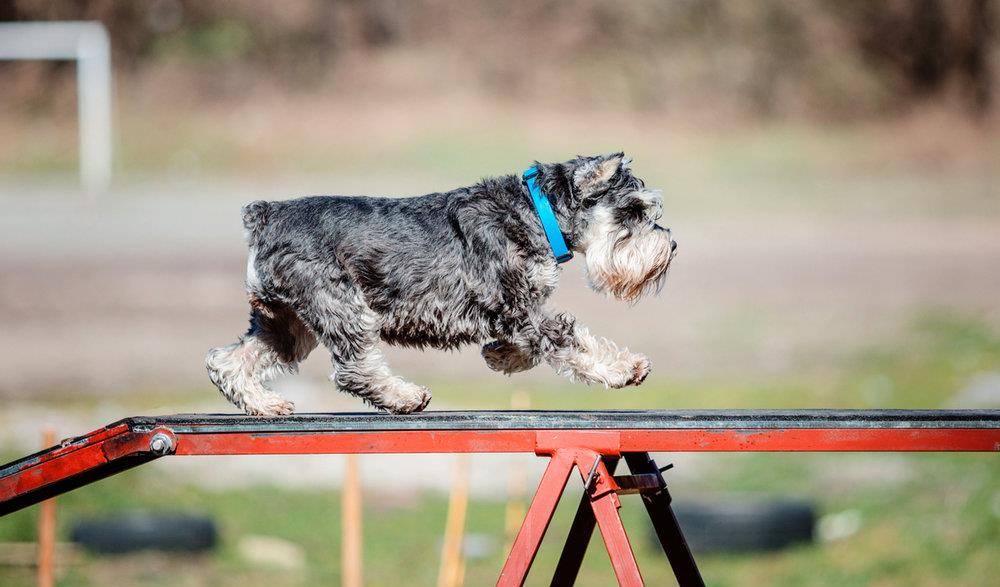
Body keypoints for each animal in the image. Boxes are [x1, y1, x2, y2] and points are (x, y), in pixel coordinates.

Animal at [209, 154, 680, 416]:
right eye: (633, 210)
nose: (671, 245)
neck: (537, 211)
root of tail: (266, 214)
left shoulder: (517, 313)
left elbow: (532, 346)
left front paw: (500, 356)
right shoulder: (519, 308)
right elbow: (573, 341)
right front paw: (624, 368)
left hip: (287, 323)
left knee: (226, 361)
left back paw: (265, 404)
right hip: (342, 307)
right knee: (353, 369)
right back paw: (404, 396)